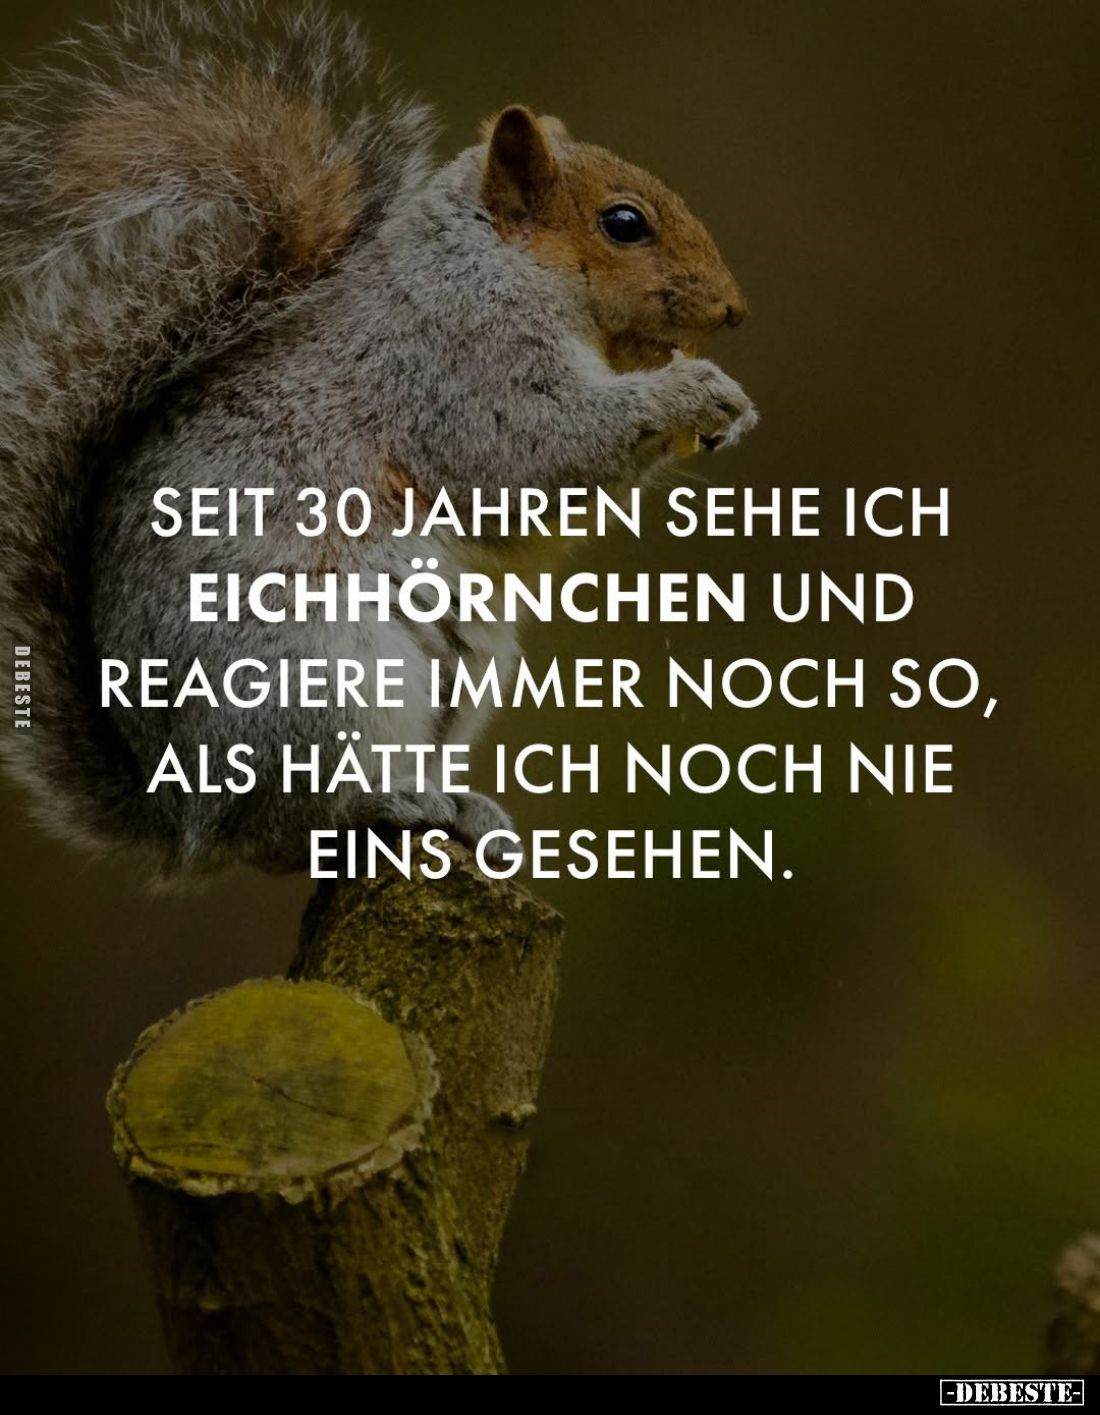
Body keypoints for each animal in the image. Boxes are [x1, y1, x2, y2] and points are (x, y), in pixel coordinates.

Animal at [0, 0, 757, 877]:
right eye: (624, 223)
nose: (734, 309)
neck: (491, 263)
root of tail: (181, 812)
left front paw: (725, 412)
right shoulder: (451, 368)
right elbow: (529, 458)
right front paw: (693, 390)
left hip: (463, 670)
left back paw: (461, 806)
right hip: (322, 680)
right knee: (289, 827)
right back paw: (390, 803)